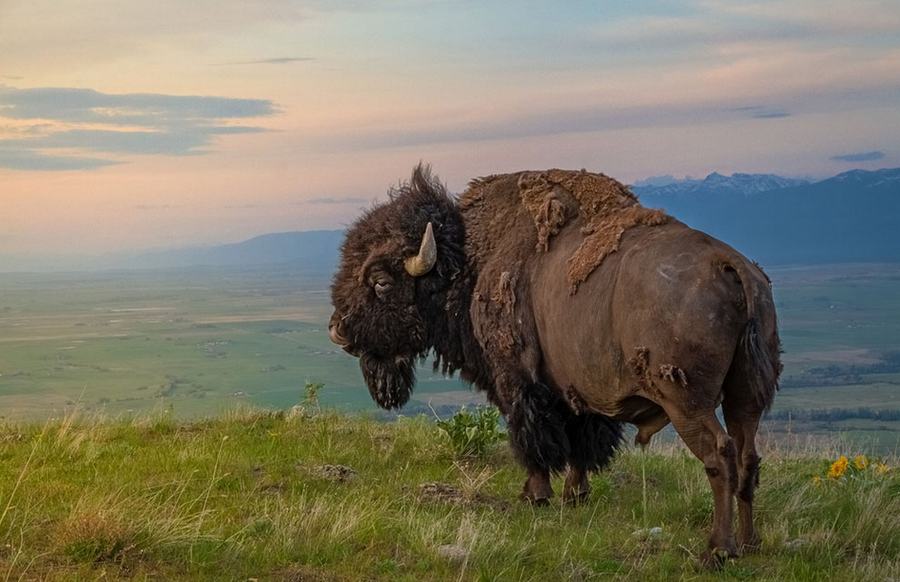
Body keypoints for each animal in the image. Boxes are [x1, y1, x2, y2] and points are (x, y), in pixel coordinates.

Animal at [330, 165, 780, 564]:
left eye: (380, 281)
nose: (338, 329)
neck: (469, 259)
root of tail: (730, 265)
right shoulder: (582, 395)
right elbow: (582, 442)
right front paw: (574, 495)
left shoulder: (518, 383)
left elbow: (534, 439)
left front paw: (535, 495)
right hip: (745, 398)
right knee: (747, 457)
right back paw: (750, 543)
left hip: (687, 402)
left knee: (719, 457)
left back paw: (717, 550)